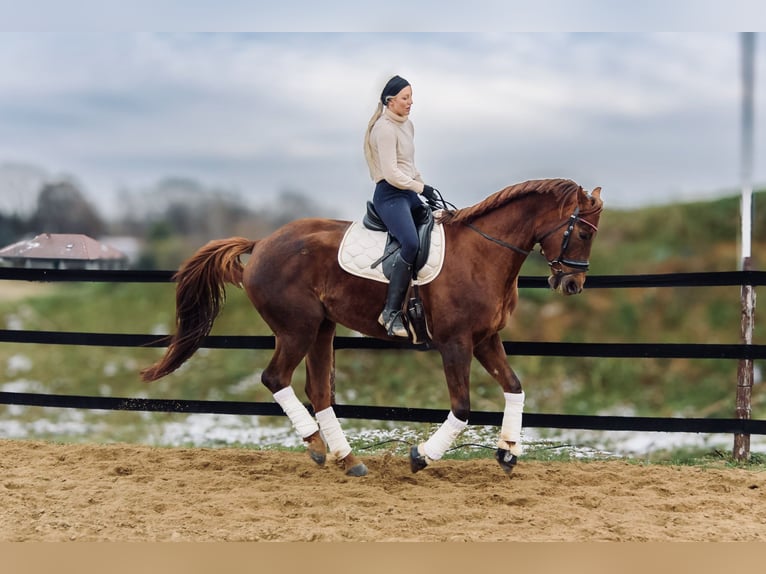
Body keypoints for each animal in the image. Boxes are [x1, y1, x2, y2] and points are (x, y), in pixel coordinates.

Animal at [141, 178, 603, 477]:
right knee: (275, 377)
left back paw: (347, 459)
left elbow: (515, 388)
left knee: (318, 390)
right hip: (297, 329)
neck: (483, 253)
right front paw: (422, 456)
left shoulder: (486, 339)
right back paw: (316, 445)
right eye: (582, 232)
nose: (572, 284)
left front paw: (508, 453)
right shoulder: (455, 343)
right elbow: (462, 408)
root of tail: (264, 243)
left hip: (322, 328)